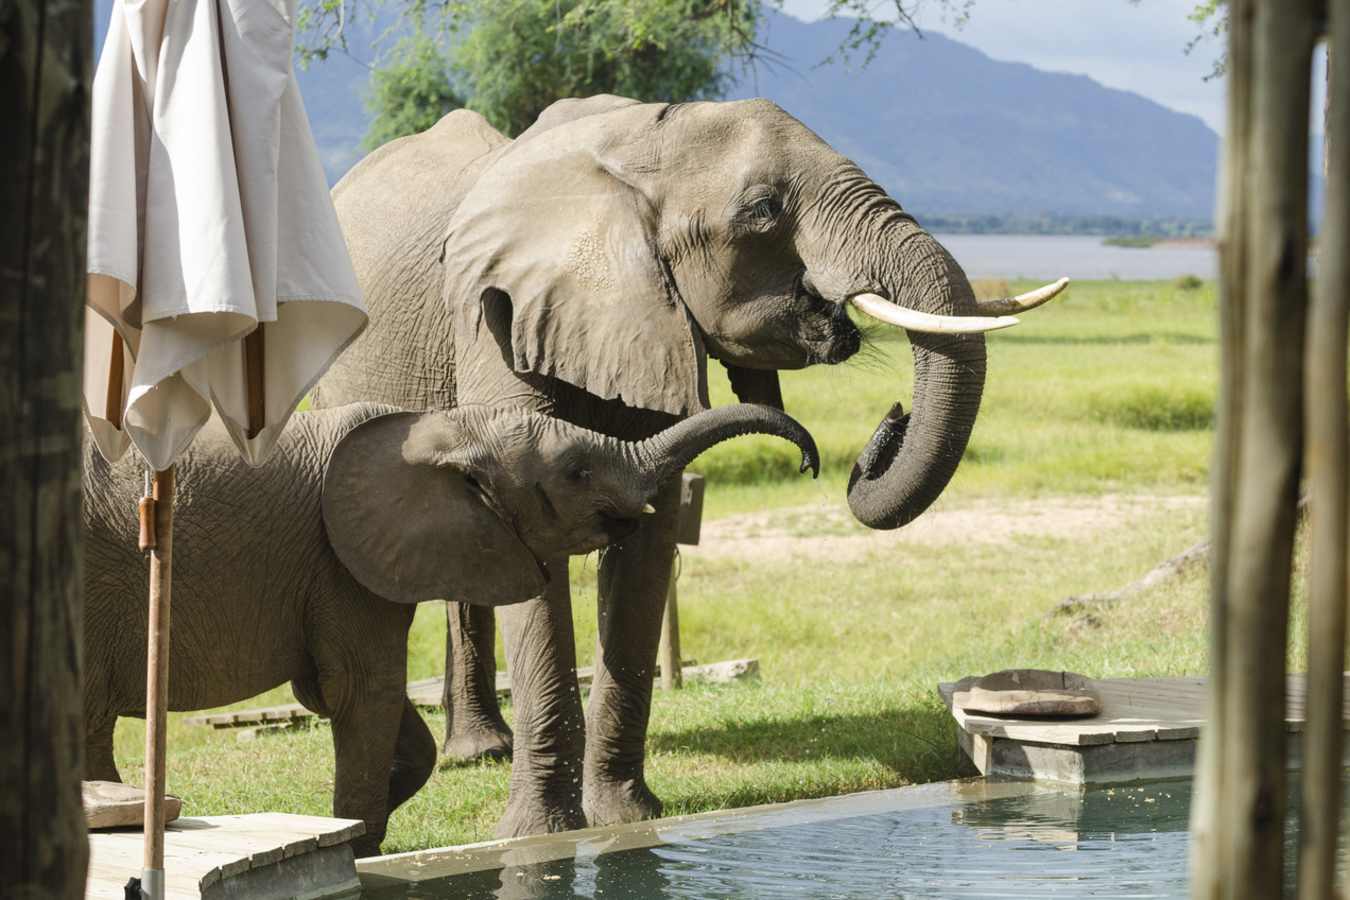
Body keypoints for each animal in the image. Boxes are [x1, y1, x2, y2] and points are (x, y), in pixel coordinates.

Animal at [80, 401, 817, 855]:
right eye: (577, 472)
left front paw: (364, 818)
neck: (451, 428)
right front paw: (358, 839)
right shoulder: (342, 558)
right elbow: (360, 691)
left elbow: (358, 704)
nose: (812, 462)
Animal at [311, 94, 1066, 837]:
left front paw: (627, 819)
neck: (632, 142)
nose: (888, 423)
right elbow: (536, 541)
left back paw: (488, 747)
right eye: (762, 208)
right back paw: (480, 754)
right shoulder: (494, 320)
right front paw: (541, 837)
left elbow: (650, 528)